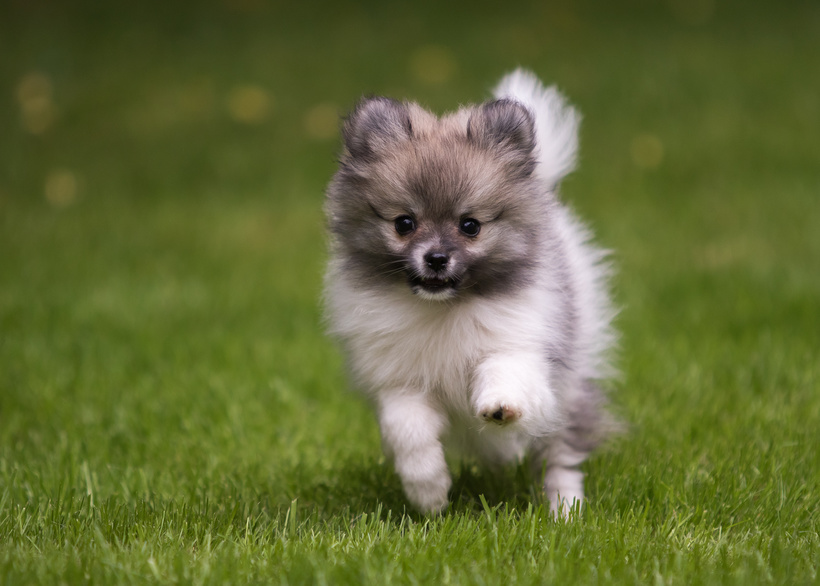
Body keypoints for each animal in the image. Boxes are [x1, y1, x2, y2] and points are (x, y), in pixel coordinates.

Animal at [324, 68, 612, 512]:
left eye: (470, 226)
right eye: (404, 223)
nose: (436, 258)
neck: (445, 307)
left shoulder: (521, 344)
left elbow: (504, 369)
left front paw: (499, 406)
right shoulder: (400, 383)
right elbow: (408, 432)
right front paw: (429, 493)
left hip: (568, 389)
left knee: (560, 455)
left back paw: (566, 509)